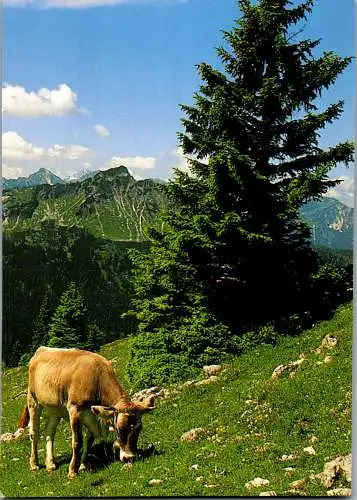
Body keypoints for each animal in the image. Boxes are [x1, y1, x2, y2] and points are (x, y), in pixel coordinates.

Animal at [17, 346, 154, 478]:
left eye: (139, 429)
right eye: (119, 430)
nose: (130, 458)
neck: (96, 379)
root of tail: (41, 350)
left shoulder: (93, 416)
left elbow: (89, 441)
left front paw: (83, 465)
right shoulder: (75, 410)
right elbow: (77, 442)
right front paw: (73, 470)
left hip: (55, 409)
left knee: (49, 433)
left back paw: (50, 464)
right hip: (33, 400)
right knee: (34, 433)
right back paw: (34, 464)